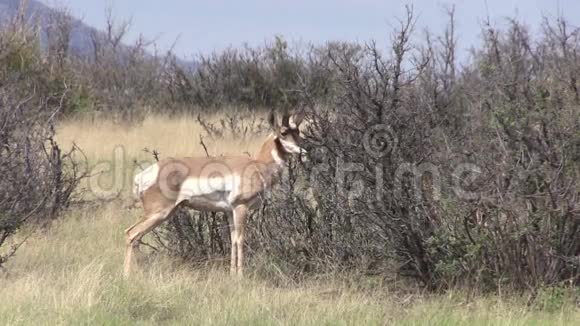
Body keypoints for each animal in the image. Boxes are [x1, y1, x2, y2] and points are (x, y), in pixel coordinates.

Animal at [124, 111, 306, 276]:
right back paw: (127, 275)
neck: (257, 163)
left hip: (166, 213)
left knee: (135, 236)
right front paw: (240, 276)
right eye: (283, 132)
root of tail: (145, 174)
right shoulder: (241, 207)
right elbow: (241, 239)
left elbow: (232, 240)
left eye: (298, 132)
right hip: (158, 213)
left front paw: (232, 274)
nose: (303, 150)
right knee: (131, 234)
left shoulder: (229, 211)